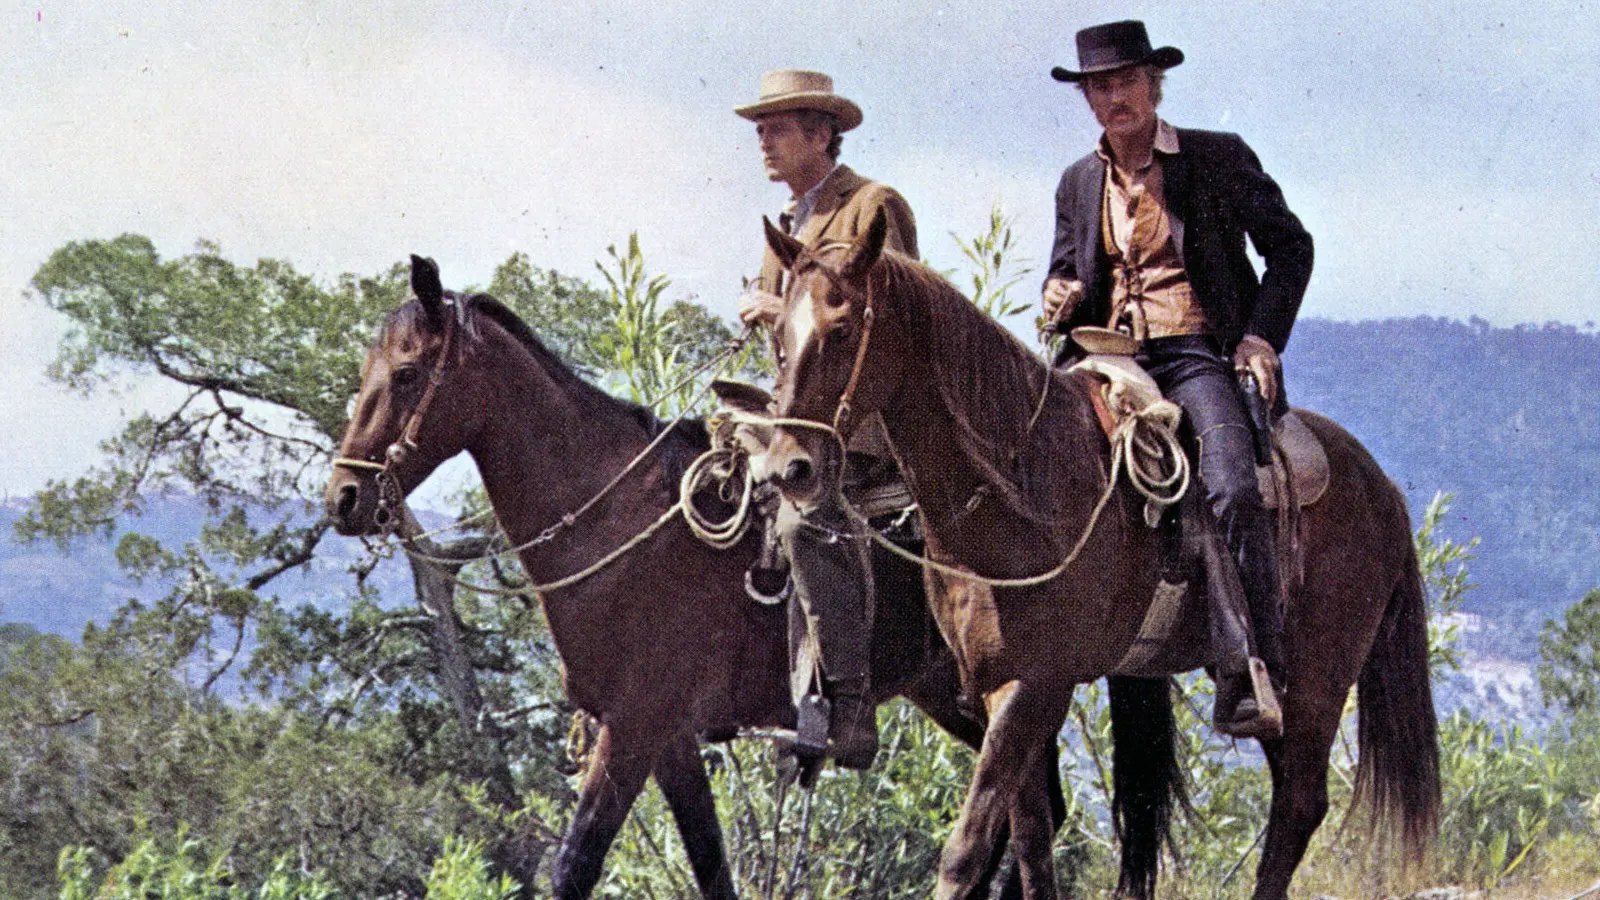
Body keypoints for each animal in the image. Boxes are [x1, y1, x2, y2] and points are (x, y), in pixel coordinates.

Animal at [321, 254, 1075, 896]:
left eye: (408, 373)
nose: (344, 497)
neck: (620, 521)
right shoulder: (669, 739)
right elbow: (710, 865)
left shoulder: (634, 725)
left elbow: (575, 867)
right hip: (965, 697)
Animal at [755, 212, 1446, 896]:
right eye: (778, 334)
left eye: (844, 328)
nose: (789, 467)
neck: (1027, 481)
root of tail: (1383, 489)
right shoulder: (999, 688)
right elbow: (1031, 843)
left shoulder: (1036, 684)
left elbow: (967, 849)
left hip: (1314, 686)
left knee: (1298, 806)